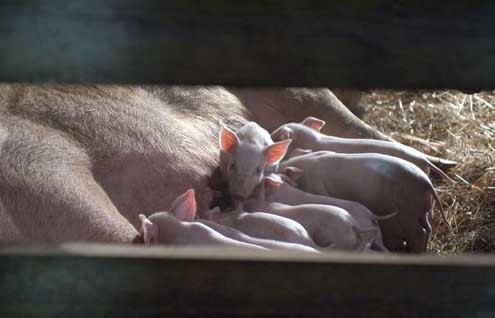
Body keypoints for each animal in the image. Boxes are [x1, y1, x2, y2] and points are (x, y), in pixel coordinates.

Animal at [282, 152, 450, 253]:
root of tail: (427, 182)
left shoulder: (318, 186)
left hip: (408, 213)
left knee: (419, 232)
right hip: (421, 211)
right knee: (427, 228)